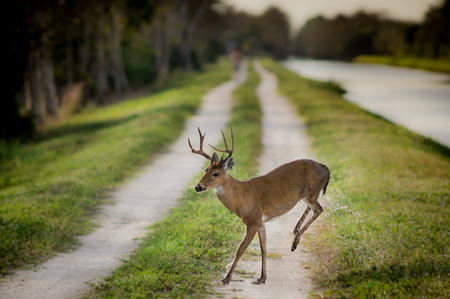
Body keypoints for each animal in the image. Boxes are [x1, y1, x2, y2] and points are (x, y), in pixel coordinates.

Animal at [187, 126, 330, 286]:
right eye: (205, 170)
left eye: (216, 173)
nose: (198, 186)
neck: (241, 198)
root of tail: (325, 167)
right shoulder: (261, 223)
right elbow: (264, 249)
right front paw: (262, 278)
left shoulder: (253, 221)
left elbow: (240, 250)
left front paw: (226, 278)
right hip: (308, 195)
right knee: (315, 206)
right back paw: (295, 231)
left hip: (311, 193)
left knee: (319, 209)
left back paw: (295, 242)